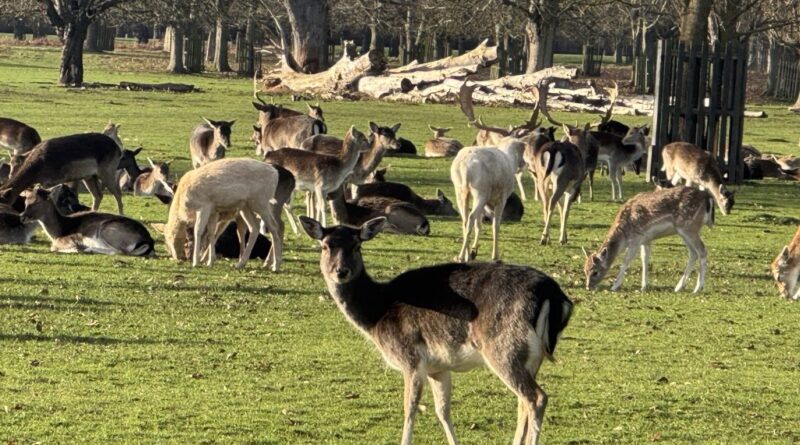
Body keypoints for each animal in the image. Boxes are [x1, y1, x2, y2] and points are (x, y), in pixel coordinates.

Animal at [20, 186, 154, 256]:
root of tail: (148, 241)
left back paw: (88, 248)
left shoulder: (66, 239)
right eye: (26, 200)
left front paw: (76, 248)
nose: (22, 217)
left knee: (120, 251)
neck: (59, 230)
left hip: (108, 230)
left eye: (38, 201)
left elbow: (54, 247)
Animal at [300, 216, 573, 445]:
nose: (341, 271)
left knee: (536, 398)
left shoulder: (410, 357)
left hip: (503, 348)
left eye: (357, 246)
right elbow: (443, 411)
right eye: (325, 246)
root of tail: (556, 296)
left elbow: (410, 409)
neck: (376, 313)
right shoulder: (438, 367)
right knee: (522, 402)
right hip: (531, 358)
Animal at [584, 186, 714, 293]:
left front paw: (614, 286)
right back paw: (678, 287)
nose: (588, 287)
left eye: (595, 272)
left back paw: (698, 288)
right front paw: (644, 286)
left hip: (689, 227)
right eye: (584, 270)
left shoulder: (636, 239)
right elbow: (645, 259)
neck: (624, 236)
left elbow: (626, 261)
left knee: (702, 251)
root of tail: (707, 197)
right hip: (684, 231)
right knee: (693, 254)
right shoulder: (645, 239)